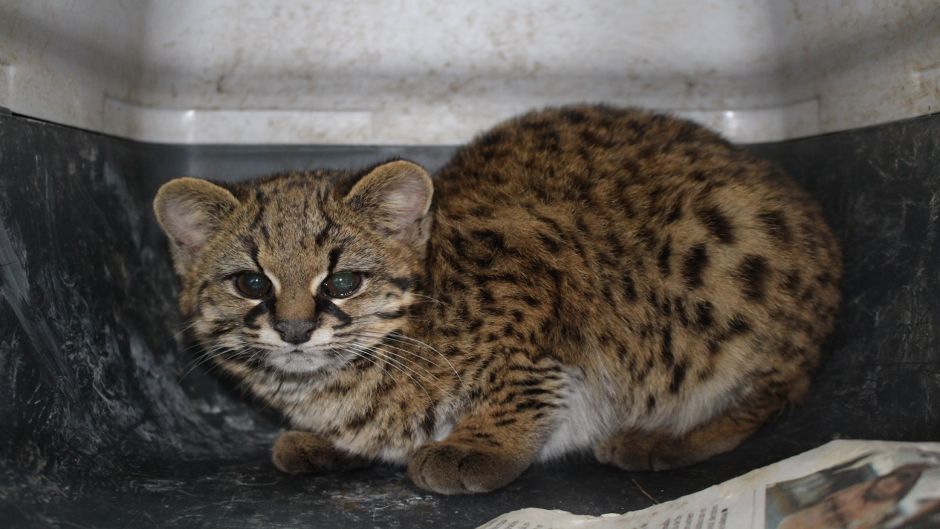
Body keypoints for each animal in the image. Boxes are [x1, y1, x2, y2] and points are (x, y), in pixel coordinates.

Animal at [154, 105, 844, 492]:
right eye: (252, 283)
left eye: (343, 282)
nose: (295, 330)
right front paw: (334, 442)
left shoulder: (546, 287)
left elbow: (523, 385)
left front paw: (477, 446)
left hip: (725, 263)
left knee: (766, 397)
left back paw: (659, 439)